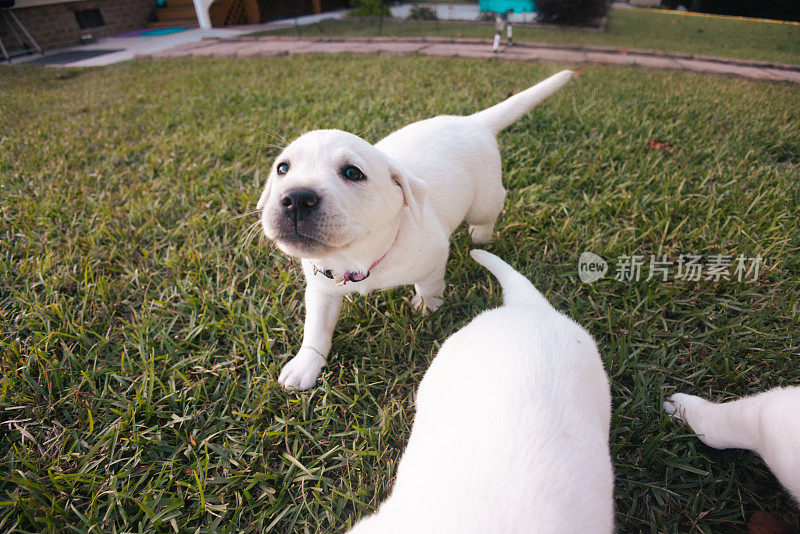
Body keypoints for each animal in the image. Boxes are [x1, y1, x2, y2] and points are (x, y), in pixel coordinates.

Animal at [260, 70, 572, 390]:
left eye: (352, 173)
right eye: (282, 168)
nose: (296, 198)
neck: (357, 258)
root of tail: (474, 122)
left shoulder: (434, 257)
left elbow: (430, 285)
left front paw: (426, 306)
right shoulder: (321, 287)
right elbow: (316, 327)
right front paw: (306, 364)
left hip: (483, 201)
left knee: (493, 206)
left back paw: (480, 237)